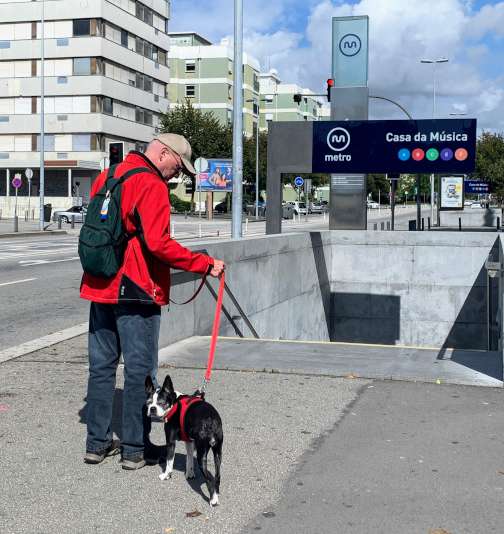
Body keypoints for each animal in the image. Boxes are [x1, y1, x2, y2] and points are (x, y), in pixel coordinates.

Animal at [146, 374, 224, 508]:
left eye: (162, 403)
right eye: (148, 402)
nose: (152, 409)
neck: (175, 402)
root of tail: (211, 421)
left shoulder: (170, 442)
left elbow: (169, 461)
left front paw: (166, 475)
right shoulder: (190, 441)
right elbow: (189, 458)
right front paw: (189, 474)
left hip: (202, 454)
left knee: (210, 478)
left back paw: (213, 499)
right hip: (217, 451)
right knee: (217, 475)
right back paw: (216, 493)